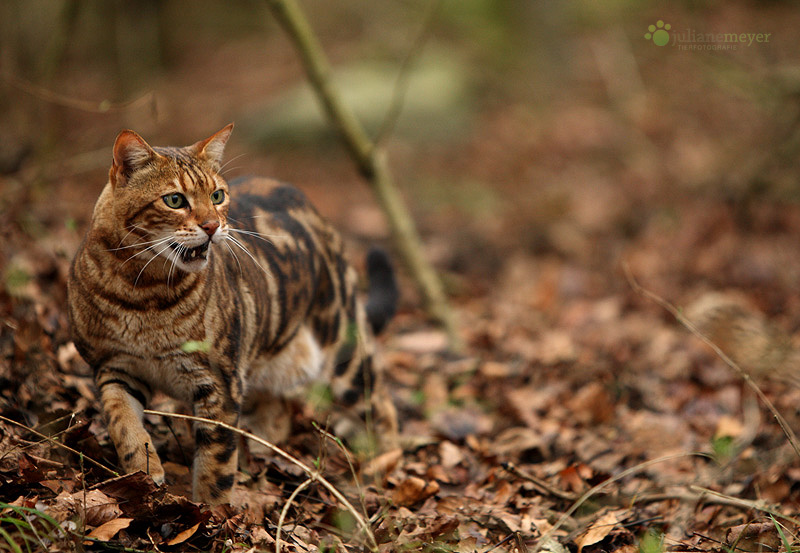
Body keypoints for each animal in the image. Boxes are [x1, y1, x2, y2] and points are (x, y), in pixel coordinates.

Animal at [67, 125, 398, 504]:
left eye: (217, 195)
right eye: (175, 200)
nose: (213, 225)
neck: (143, 295)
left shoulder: (220, 381)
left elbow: (216, 462)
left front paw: (210, 511)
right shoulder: (113, 366)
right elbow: (122, 422)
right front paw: (143, 469)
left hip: (345, 353)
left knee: (383, 405)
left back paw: (384, 465)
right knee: (279, 411)